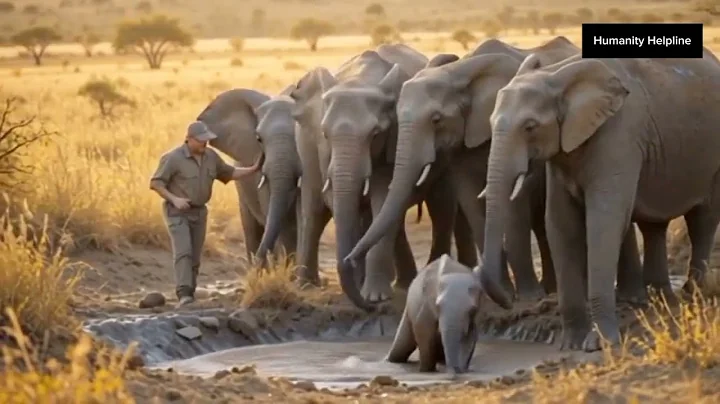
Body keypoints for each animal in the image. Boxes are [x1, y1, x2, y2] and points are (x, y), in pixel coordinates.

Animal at [288, 44, 478, 310]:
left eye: (375, 134)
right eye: (325, 134)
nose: (349, 259)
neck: (360, 78)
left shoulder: (394, 138)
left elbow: (382, 198)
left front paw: (374, 297)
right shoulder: (319, 147)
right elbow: (336, 201)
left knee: (439, 206)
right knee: (314, 208)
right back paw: (307, 285)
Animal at [345, 37, 581, 302]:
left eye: (436, 120)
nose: (348, 260)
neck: (459, 73)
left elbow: (515, 200)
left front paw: (529, 298)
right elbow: (471, 200)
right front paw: (503, 292)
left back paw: (548, 290)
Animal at [481, 47, 720, 351]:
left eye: (530, 127)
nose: (508, 302)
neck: (557, 76)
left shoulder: (619, 134)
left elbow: (603, 222)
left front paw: (600, 343)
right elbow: (560, 223)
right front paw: (571, 344)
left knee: (703, 219)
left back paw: (694, 294)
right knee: (654, 225)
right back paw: (661, 300)